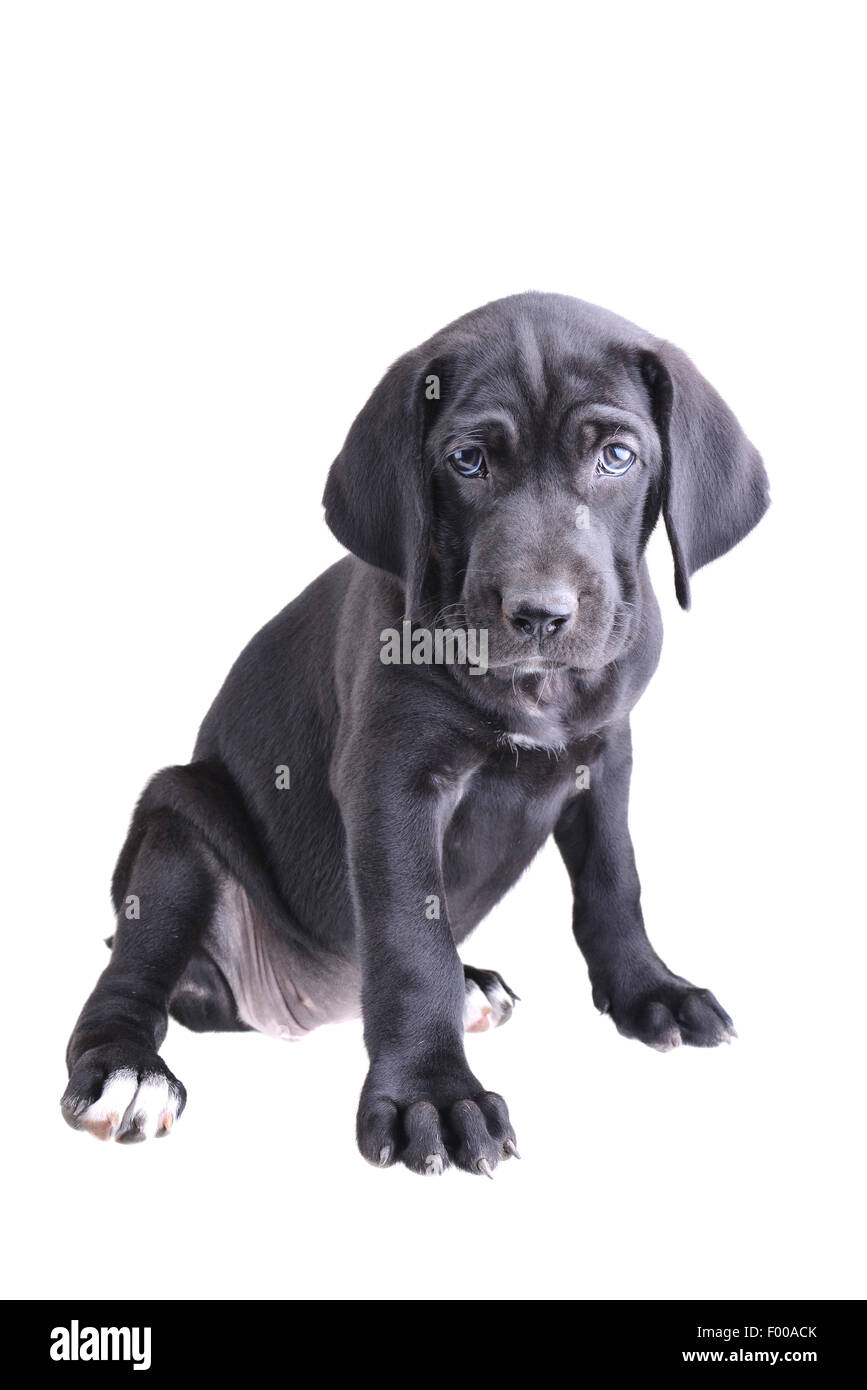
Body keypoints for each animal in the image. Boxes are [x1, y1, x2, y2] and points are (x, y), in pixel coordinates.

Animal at [61, 290, 766, 1173]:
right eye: (466, 462)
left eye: (615, 456)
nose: (540, 613)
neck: (534, 689)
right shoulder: (392, 779)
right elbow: (408, 936)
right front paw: (431, 1094)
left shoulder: (606, 756)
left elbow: (614, 881)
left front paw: (650, 992)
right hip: (178, 823)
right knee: (129, 981)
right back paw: (128, 1072)